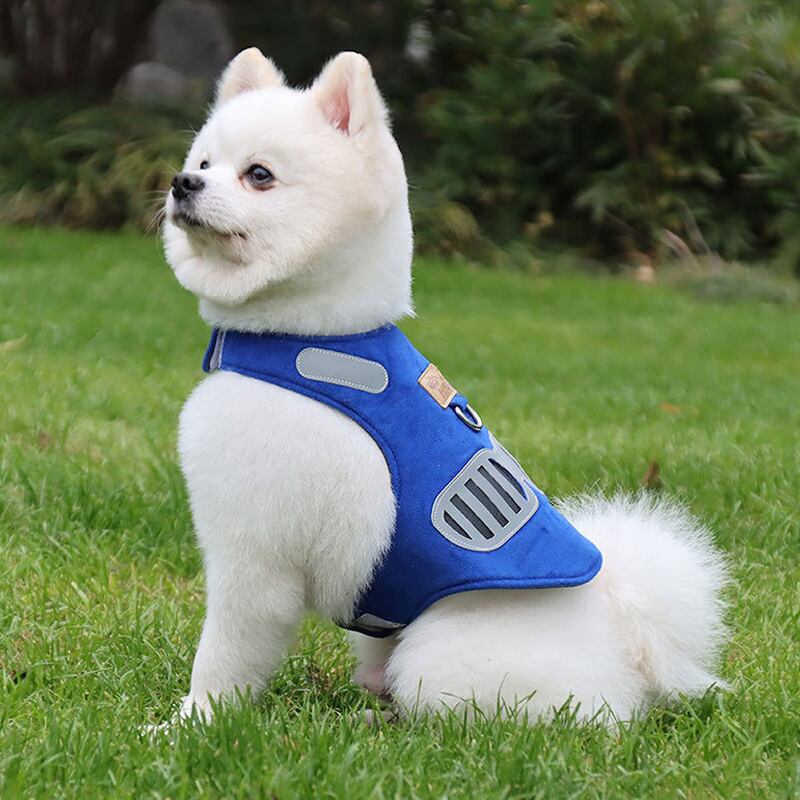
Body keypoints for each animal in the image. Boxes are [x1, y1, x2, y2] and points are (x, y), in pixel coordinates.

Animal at [162, 48, 729, 724]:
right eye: (204, 163)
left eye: (259, 175)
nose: (182, 183)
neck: (309, 340)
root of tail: (626, 637)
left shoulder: (256, 554)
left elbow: (224, 654)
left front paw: (189, 723)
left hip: (441, 653)